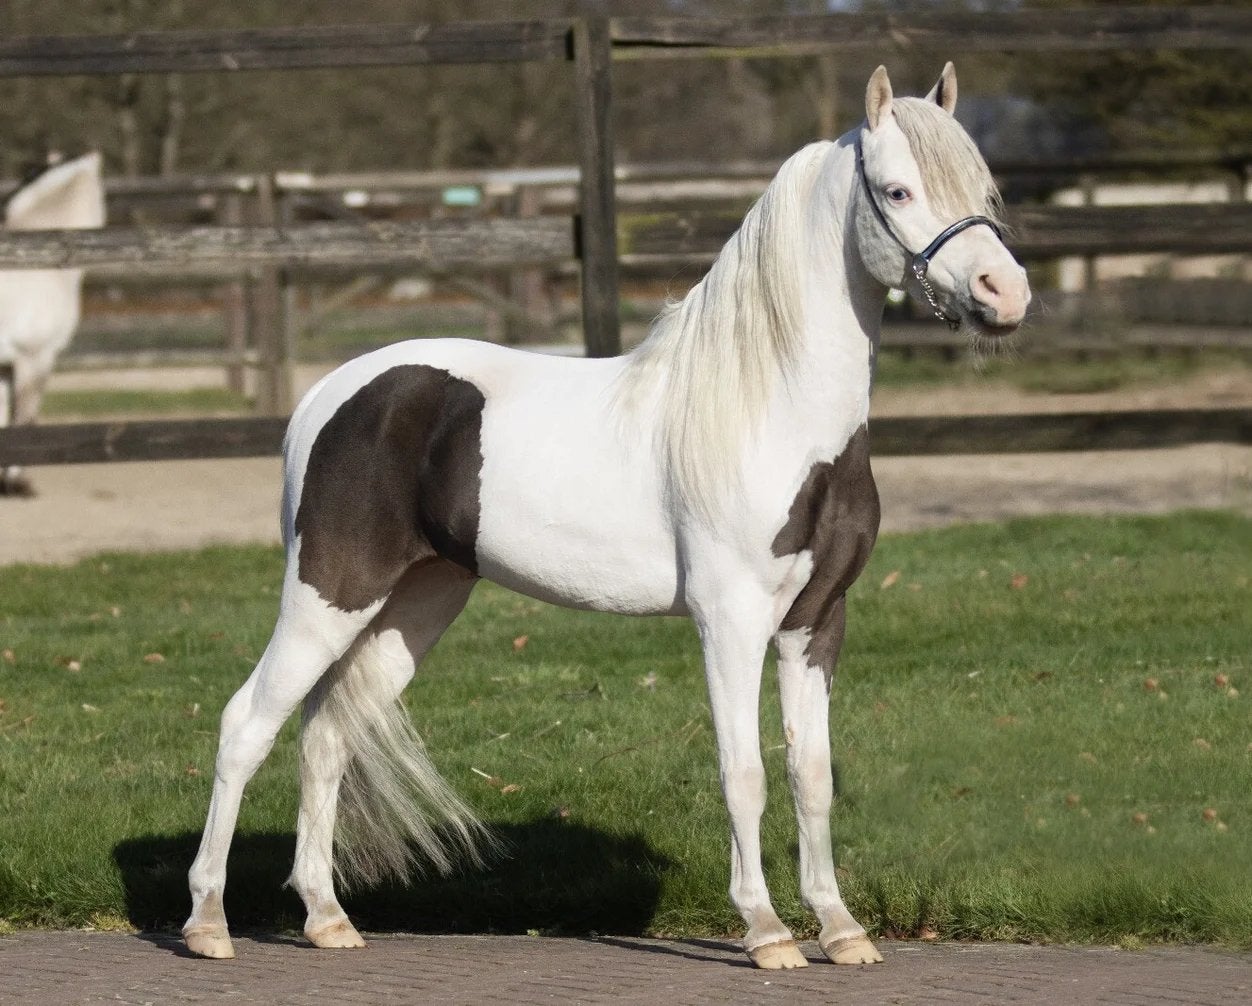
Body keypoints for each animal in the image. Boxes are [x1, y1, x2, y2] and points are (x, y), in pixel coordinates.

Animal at [184, 63, 1029, 969]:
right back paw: (208, 923)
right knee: (246, 725)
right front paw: (767, 932)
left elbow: (813, 775)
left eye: (986, 187)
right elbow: (744, 773)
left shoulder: (816, 622)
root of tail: (326, 398)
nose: (1005, 294)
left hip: (412, 606)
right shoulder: (730, 621)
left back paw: (326, 918)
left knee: (327, 738)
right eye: (898, 190)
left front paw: (840, 929)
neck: (769, 406)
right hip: (328, 595)